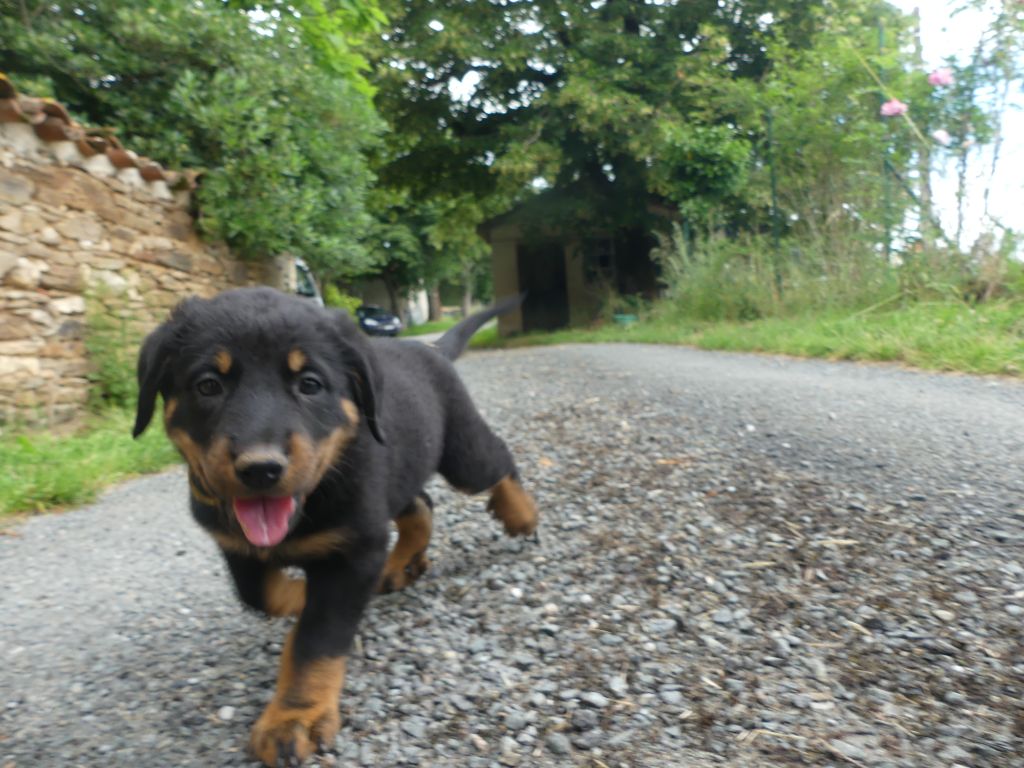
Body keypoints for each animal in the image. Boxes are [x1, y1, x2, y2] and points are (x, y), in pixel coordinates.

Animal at [132, 287, 538, 765]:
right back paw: (404, 565)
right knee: (420, 505)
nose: (261, 469)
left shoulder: (356, 546)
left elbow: (318, 637)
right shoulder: (235, 543)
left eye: (309, 384)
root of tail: (432, 348)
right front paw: (299, 598)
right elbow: (260, 594)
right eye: (208, 385)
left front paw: (294, 716)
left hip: (461, 452)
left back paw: (521, 514)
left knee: (496, 461)